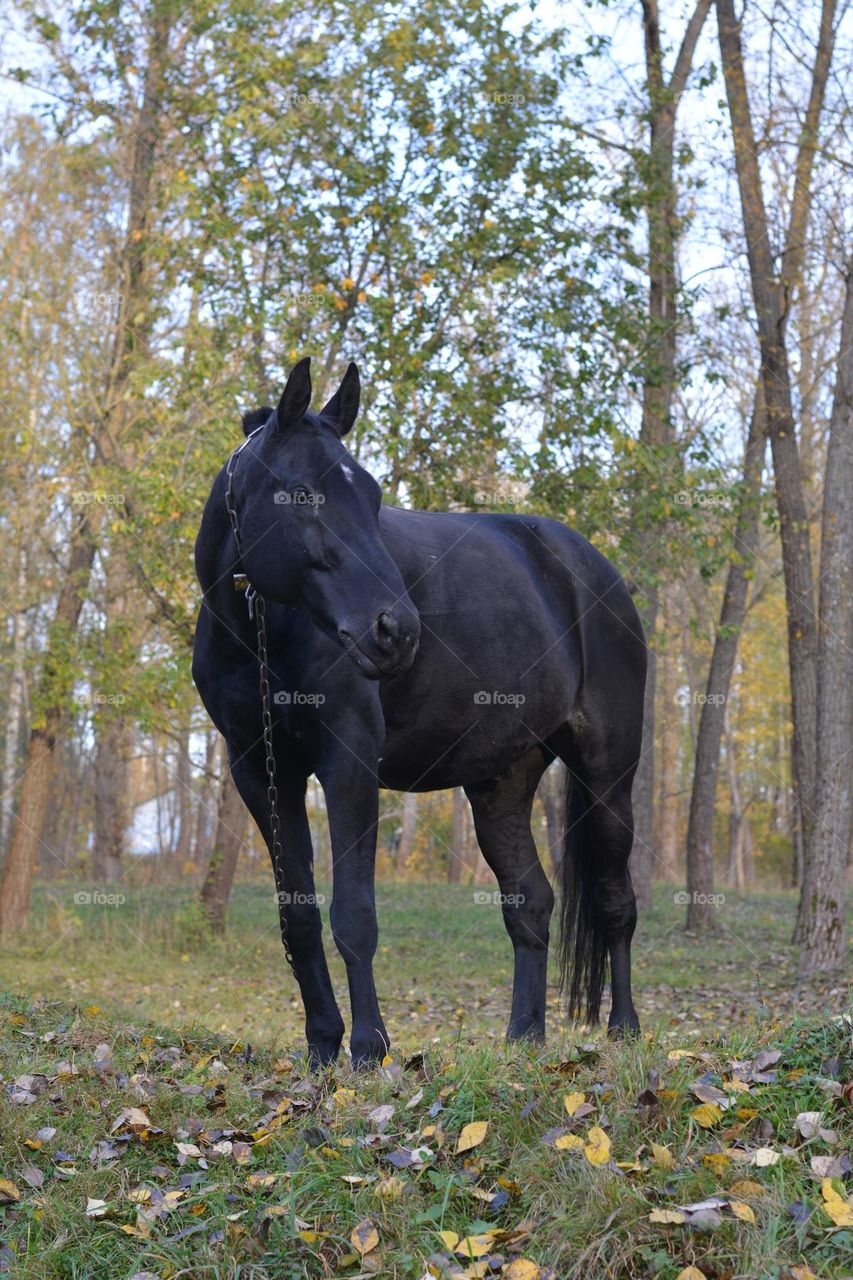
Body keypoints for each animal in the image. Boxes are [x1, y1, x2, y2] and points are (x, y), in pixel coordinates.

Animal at [192, 355, 645, 1064]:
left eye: (375, 499)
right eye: (303, 494)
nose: (396, 633)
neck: (260, 632)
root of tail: (592, 570)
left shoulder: (348, 762)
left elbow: (354, 915)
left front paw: (369, 1050)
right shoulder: (260, 771)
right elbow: (298, 914)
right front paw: (323, 1046)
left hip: (608, 777)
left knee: (614, 901)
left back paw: (623, 1030)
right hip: (501, 784)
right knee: (531, 904)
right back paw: (524, 1039)